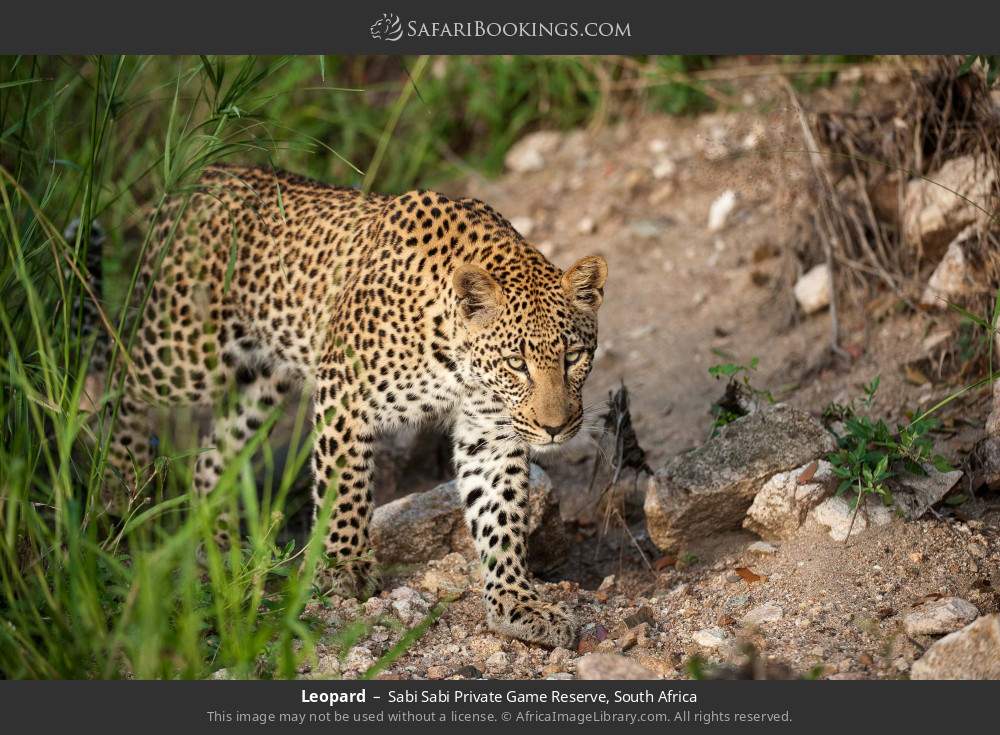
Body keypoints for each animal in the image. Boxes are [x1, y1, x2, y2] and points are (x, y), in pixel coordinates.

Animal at [93, 164, 608, 648]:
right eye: (516, 363)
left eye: (573, 357)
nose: (556, 428)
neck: (459, 363)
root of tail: (208, 175)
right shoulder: (344, 391)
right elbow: (346, 489)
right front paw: (344, 568)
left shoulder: (491, 434)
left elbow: (499, 516)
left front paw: (515, 603)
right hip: (187, 355)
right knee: (117, 376)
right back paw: (120, 487)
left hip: (259, 386)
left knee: (210, 458)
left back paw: (219, 546)